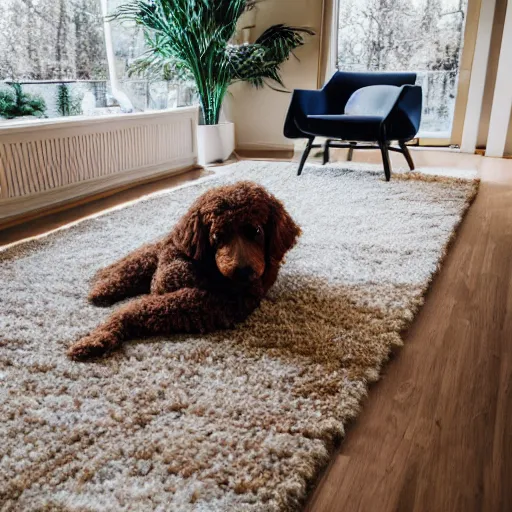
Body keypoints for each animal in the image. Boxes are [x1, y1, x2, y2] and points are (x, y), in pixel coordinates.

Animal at [68, 180, 300, 360]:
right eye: (217, 236)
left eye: (256, 231)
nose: (243, 272)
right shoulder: (176, 255)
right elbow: (151, 271)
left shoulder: (210, 303)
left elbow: (135, 309)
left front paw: (96, 338)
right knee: (138, 258)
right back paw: (104, 282)